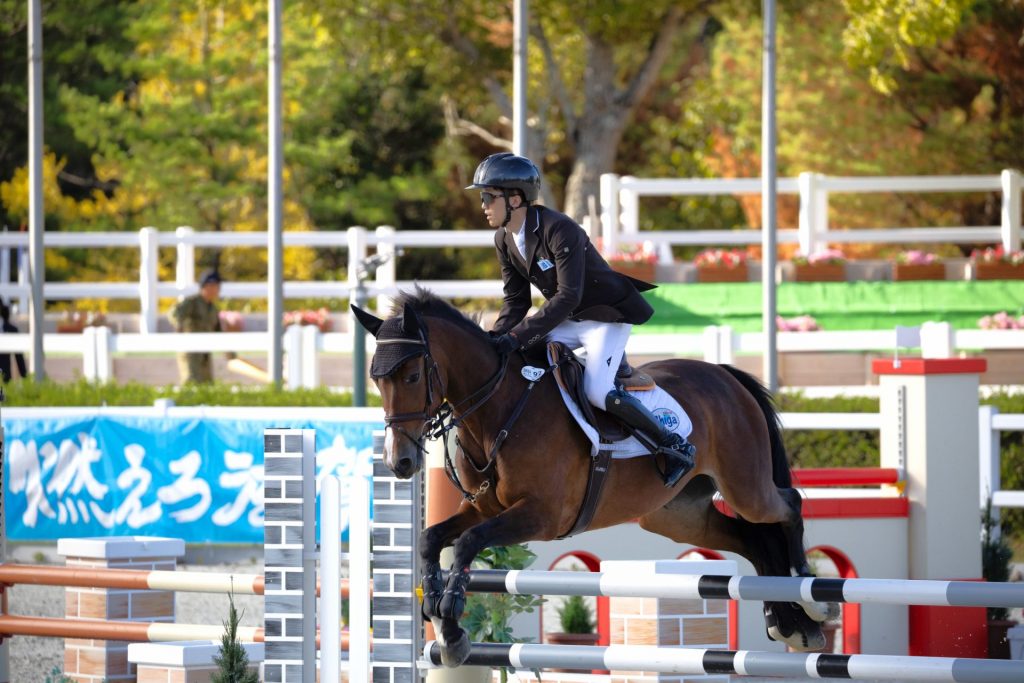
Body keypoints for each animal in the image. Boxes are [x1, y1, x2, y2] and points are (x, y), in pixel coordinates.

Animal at [352, 290, 831, 667]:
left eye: (414, 375)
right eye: (376, 379)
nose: (399, 463)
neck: (498, 411)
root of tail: (725, 374)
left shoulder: (541, 516)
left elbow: (468, 543)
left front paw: (450, 621)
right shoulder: (484, 508)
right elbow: (431, 539)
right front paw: (438, 613)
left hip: (746, 487)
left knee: (787, 506)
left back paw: (814, 598)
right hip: (677, 515)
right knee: (754, 540)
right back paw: (788, 624)